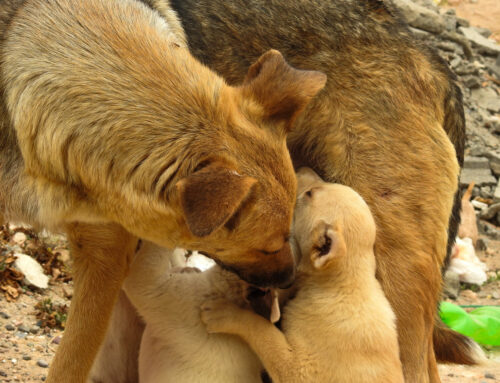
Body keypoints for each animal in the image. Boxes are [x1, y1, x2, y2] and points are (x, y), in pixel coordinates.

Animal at [201, 169, 404, 383]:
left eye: (310, 194)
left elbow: (264, 332)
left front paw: (224, 313)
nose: (303, 168)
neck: (342, 284)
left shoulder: (300, 369)